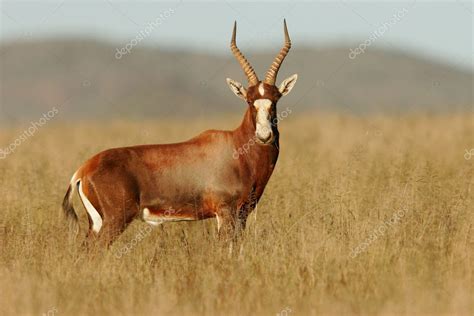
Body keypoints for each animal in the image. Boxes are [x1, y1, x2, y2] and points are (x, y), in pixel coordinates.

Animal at [61, 20, 298, 244]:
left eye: (275, 99)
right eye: (249, 100)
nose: (264, 136)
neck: (236, 148)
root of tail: (82, 170)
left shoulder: (242, 215)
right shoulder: (225, 212)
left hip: (96, 224)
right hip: (114, 220)